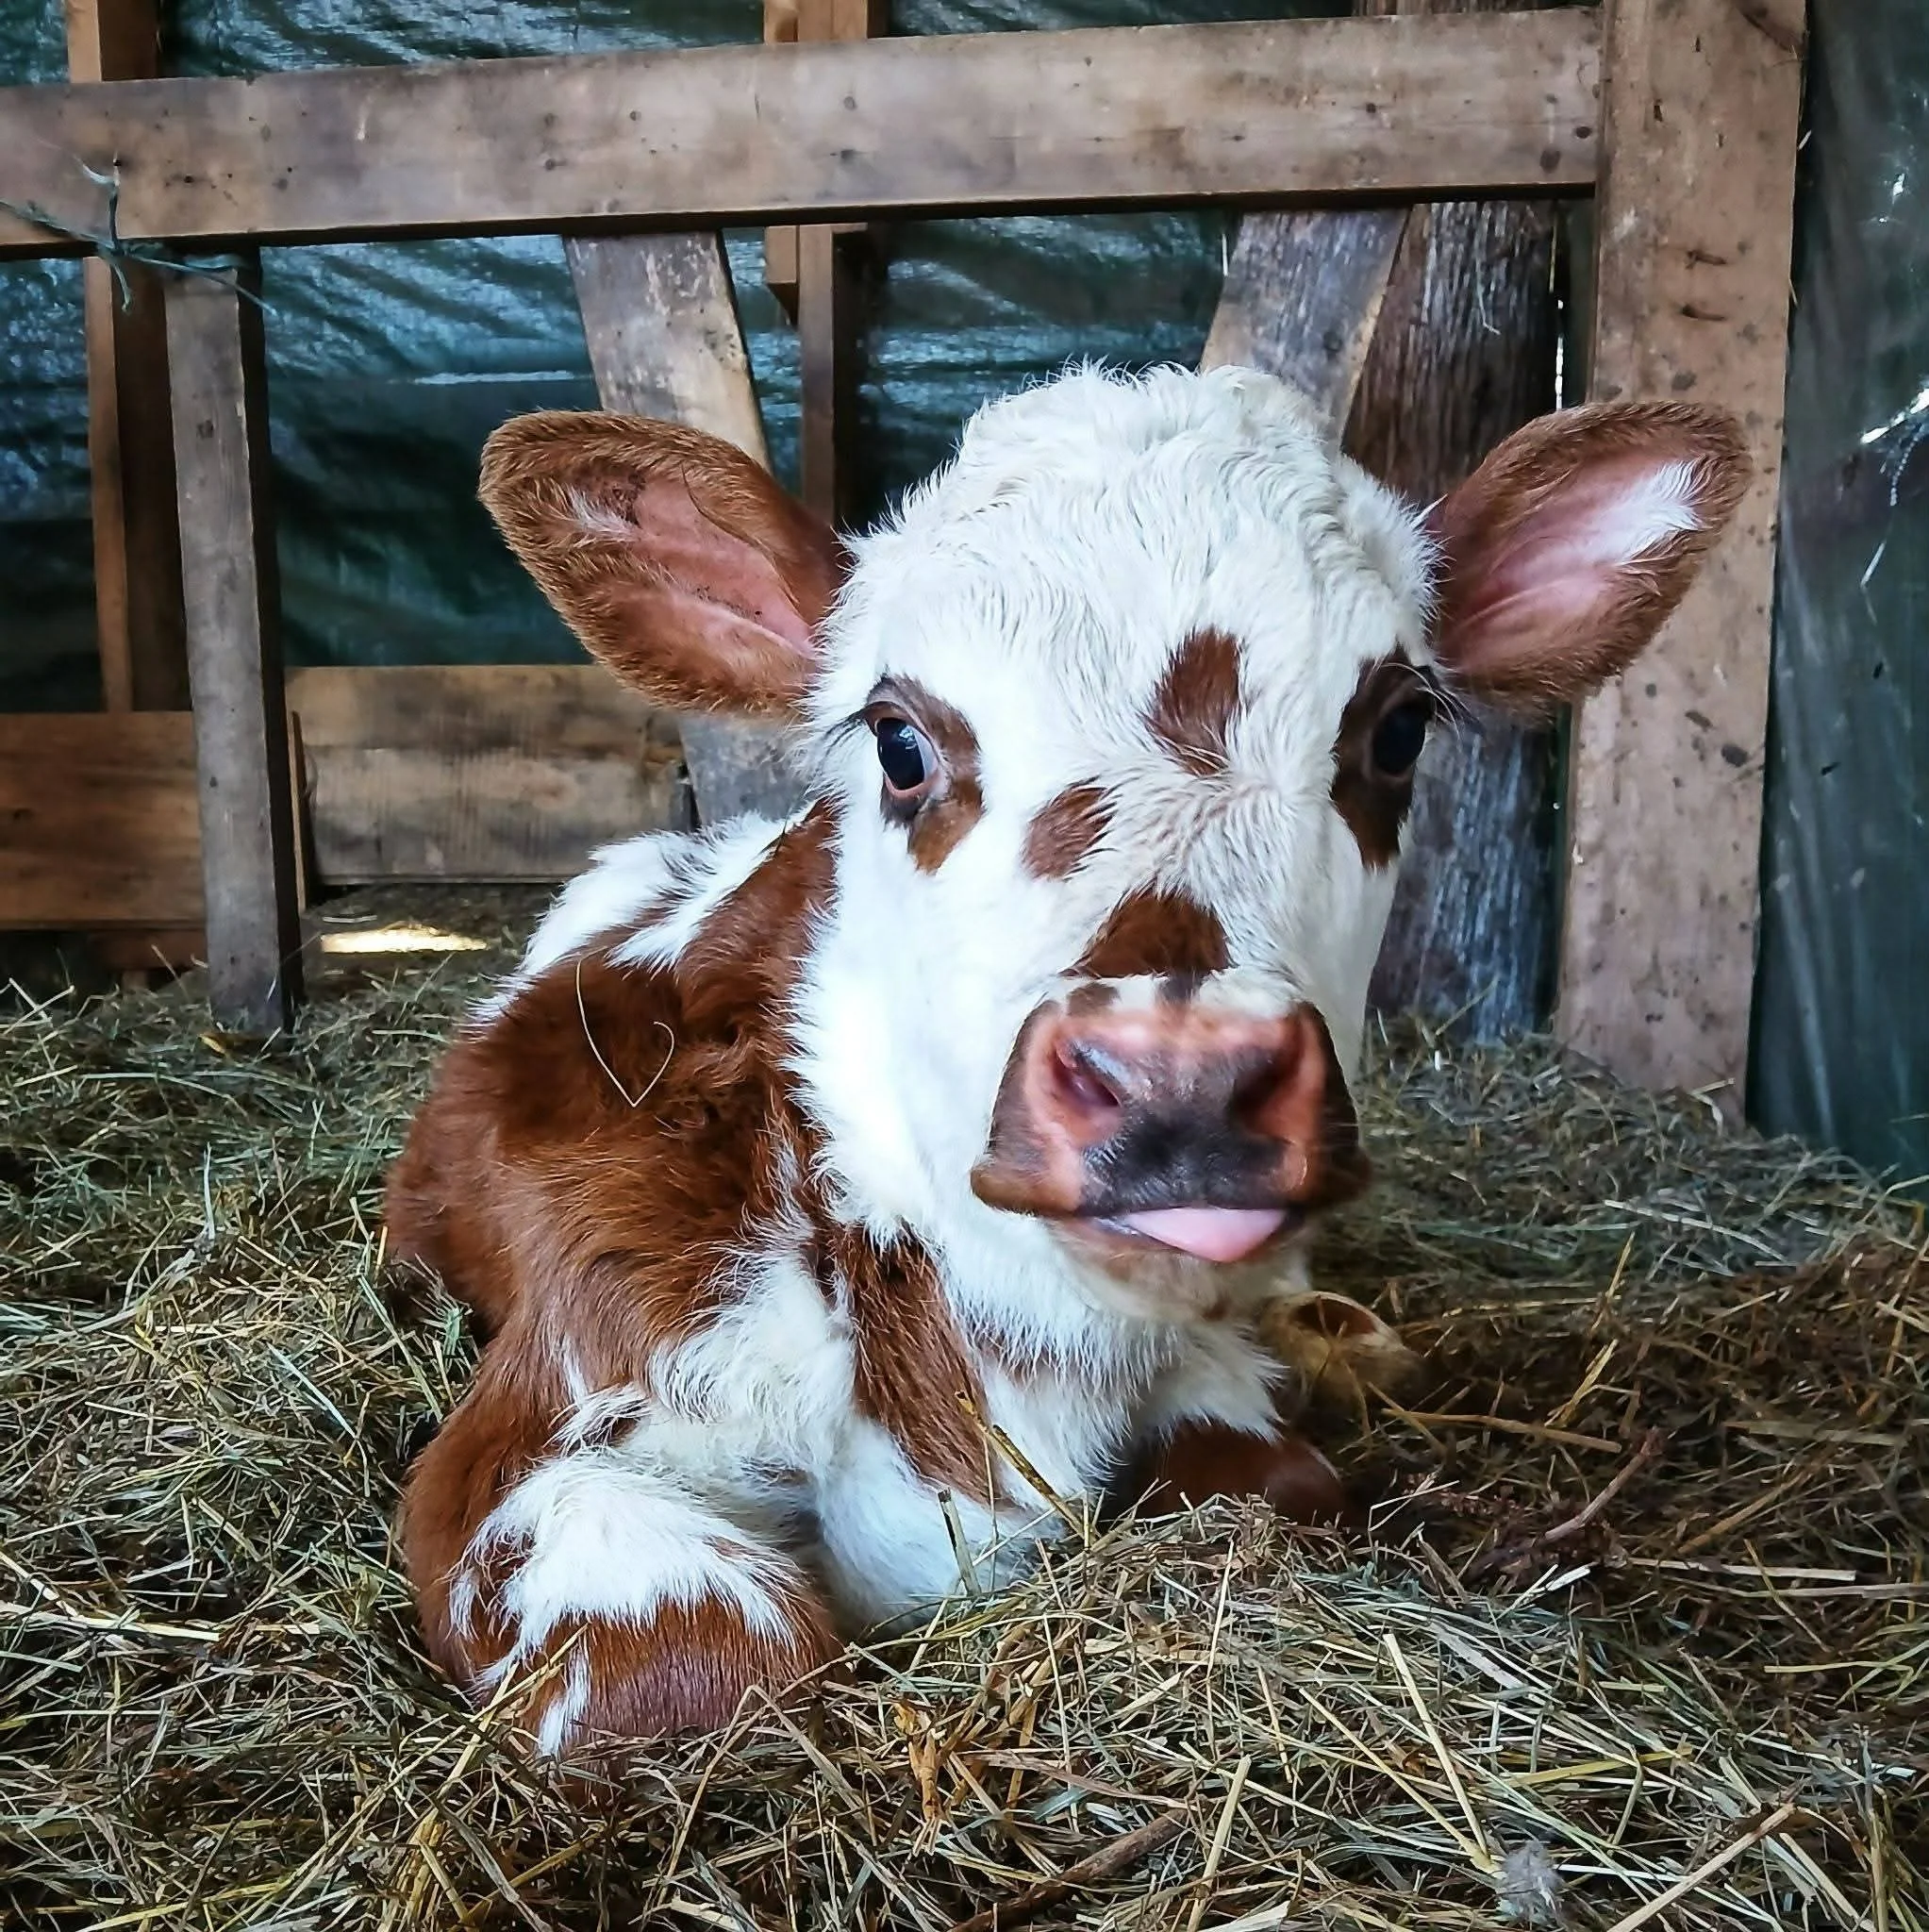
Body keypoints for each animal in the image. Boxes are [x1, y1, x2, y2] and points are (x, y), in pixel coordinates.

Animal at [386, 365, 1748, 1754]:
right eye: (899, 741)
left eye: (1400, 728)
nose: (1178, 1081)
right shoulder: (545, 1426)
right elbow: (728, 1656)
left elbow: (1282, 1478)